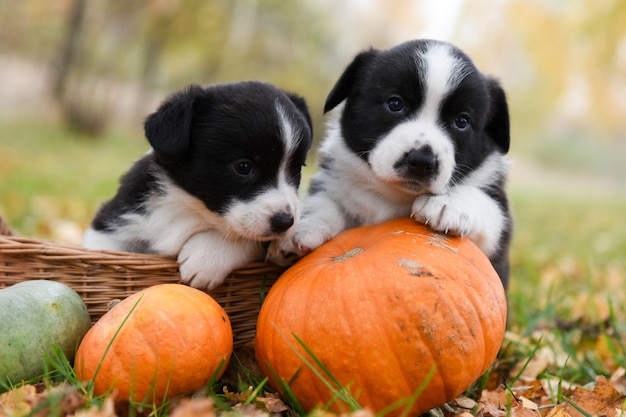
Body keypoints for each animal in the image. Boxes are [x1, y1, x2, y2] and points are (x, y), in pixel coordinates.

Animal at [83, 81, 312, 290]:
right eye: (244, 167)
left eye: (297, 169)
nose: (285, 222)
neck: (189, 209)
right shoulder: (115, 221)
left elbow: (245, 237)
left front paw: (205, 257)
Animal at [266, 39, 510, 290]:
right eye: (395, 104)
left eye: (462, 121)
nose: (422, 161)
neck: (394, 195)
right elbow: (324, 202)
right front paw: (302, 229)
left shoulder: (498, 242)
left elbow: (488, 207)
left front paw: (447, 203)